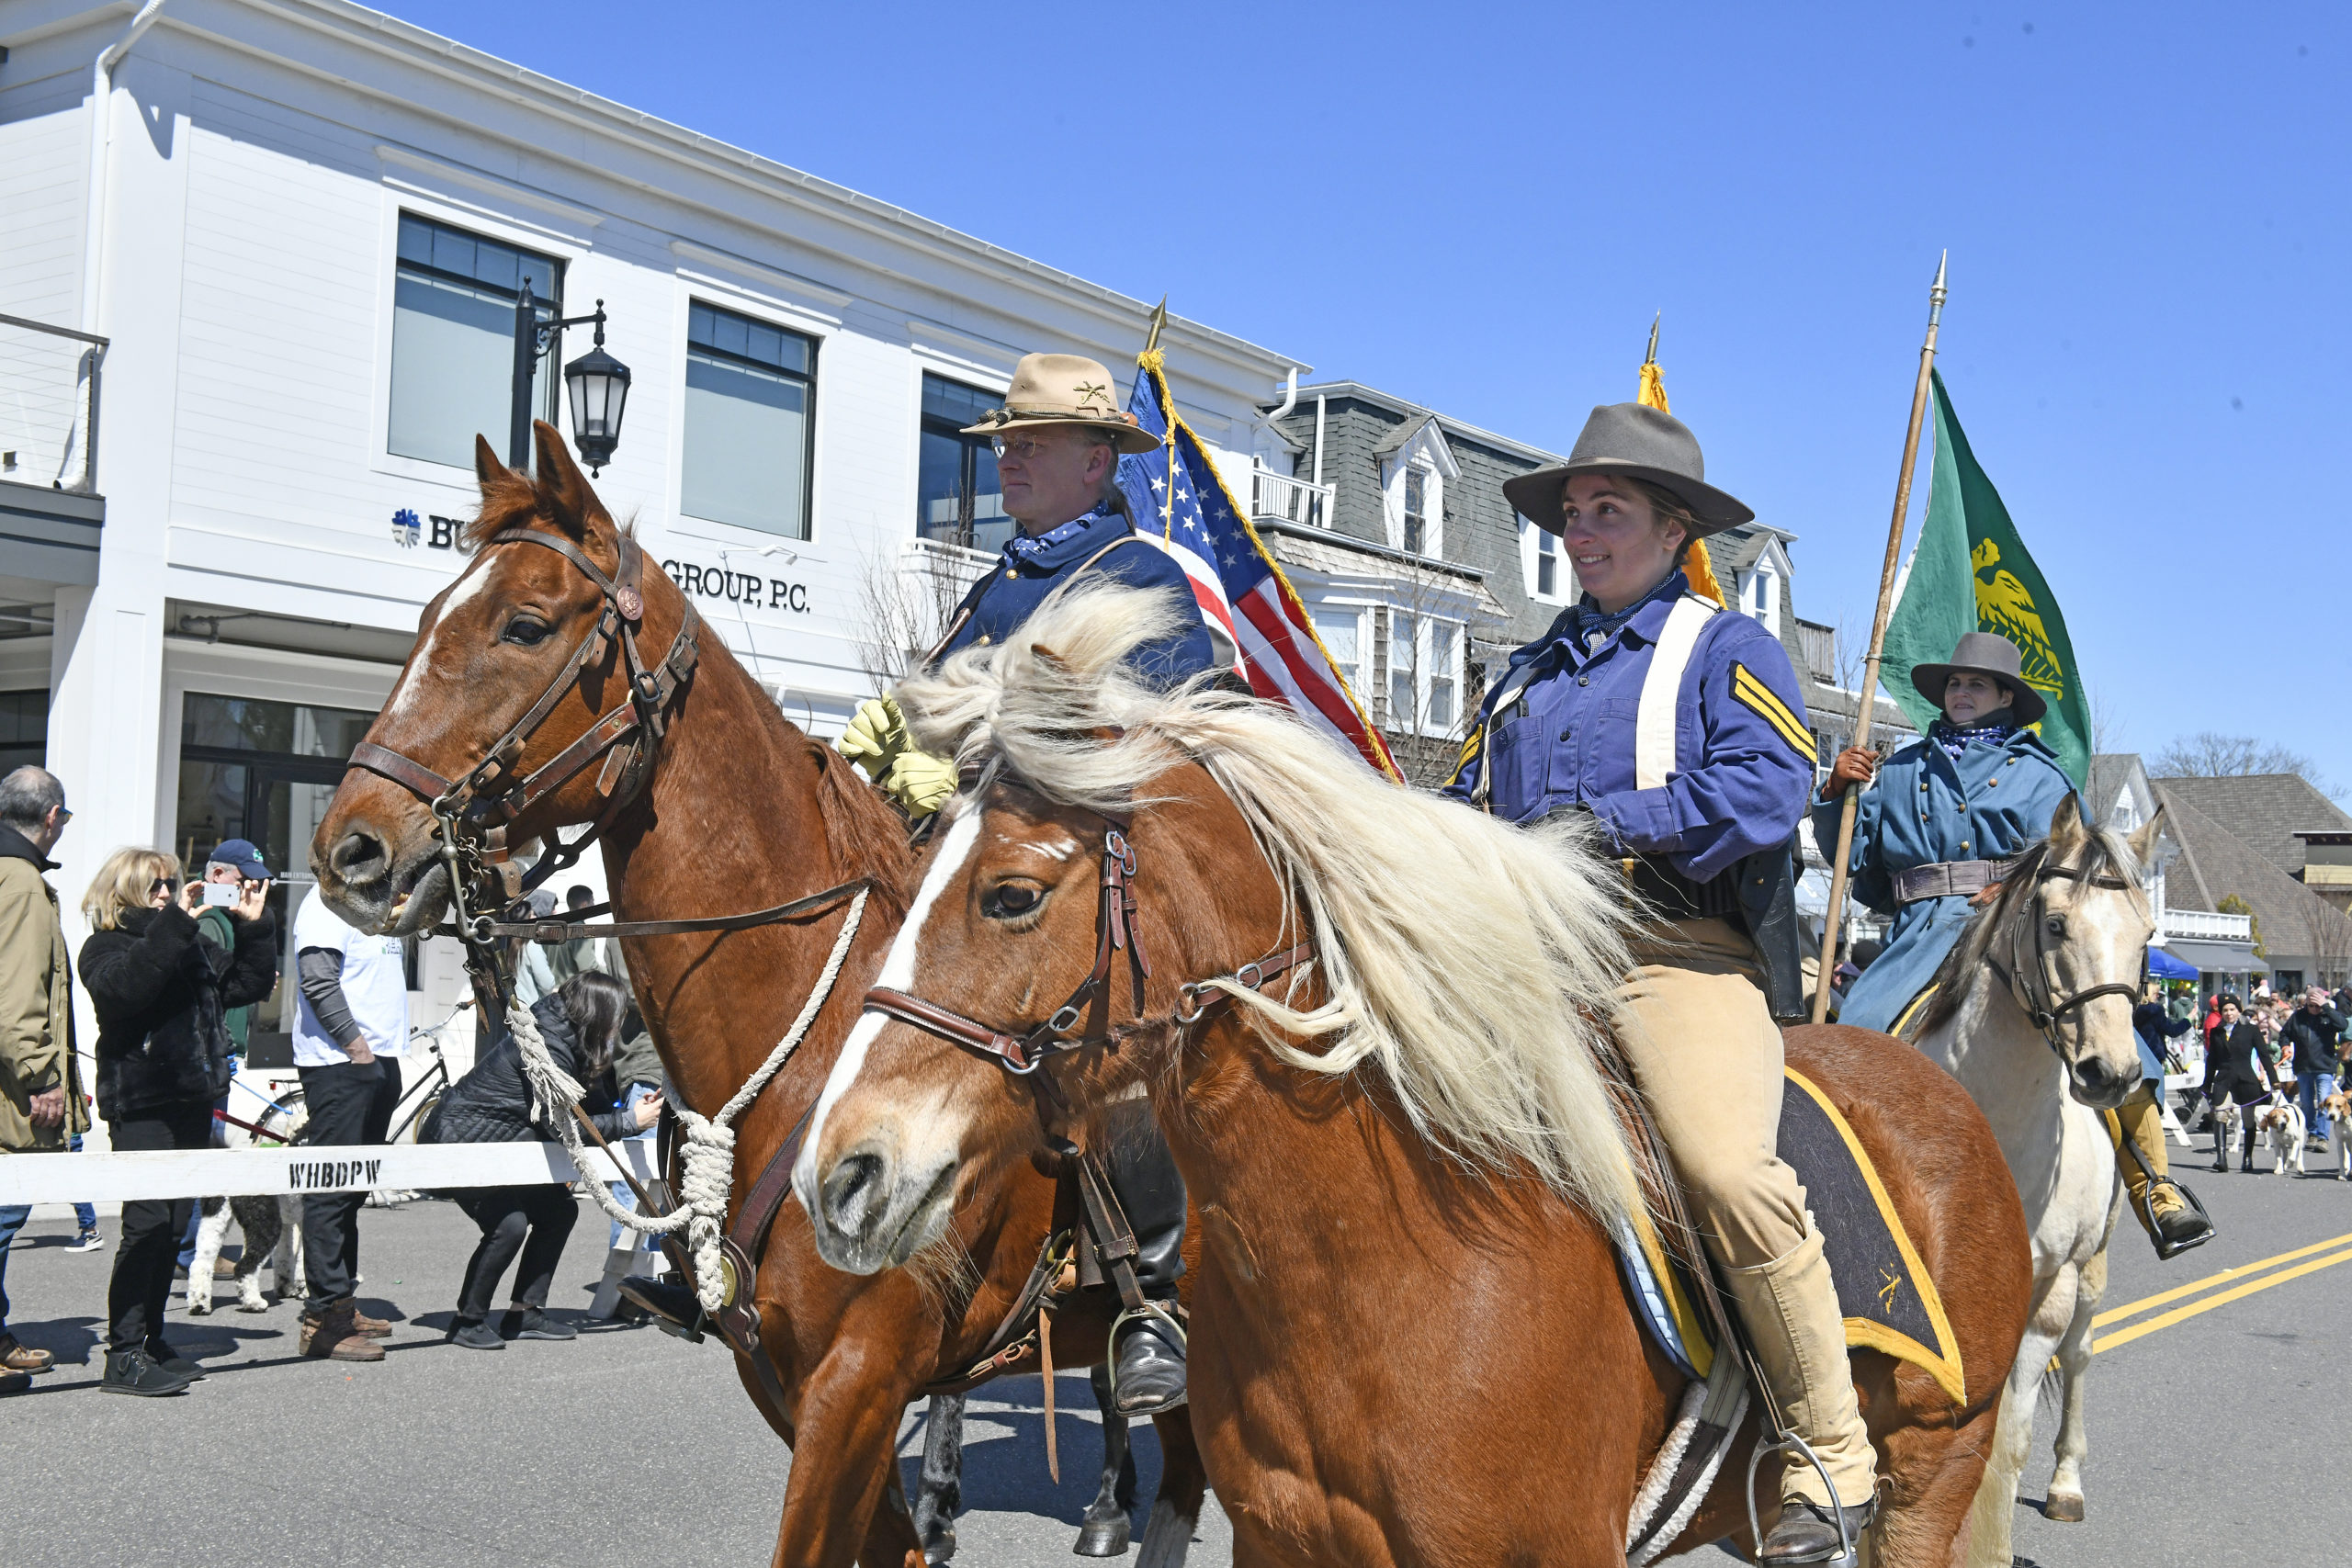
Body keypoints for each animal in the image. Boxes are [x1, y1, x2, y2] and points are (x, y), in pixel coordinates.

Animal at [184, 1090, 308, 1316]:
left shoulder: (289, 1222)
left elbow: (284, 1258)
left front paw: (286, 1289)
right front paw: (304, 1292)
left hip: (215, 1219)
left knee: (200, 1264)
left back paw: (200, 1305)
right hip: (265, 1224)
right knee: (244, 1267)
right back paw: (253, 1303)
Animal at [312, 423, 1204, 1561]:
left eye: (523, 624)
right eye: (429, 616)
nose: (351, 849)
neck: (810, 1050)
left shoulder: (855, 1387)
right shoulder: (788, 1385)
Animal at [795, 585, 2041, 1568]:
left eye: (1010, 894)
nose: (838, 1173)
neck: (1380, 1262)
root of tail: (1941, 1091)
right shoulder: (1283, 1542)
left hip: (1930, 1480)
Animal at [1900, 804, 2154, 1561]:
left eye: (2147, 936)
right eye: (2057, 924)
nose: (2112, 1072)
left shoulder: (2050, 1290)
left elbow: (2007, 1439)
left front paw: (1990, 1547)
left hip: (2092, 1272)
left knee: (2080, 1356)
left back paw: (2067, 1482)